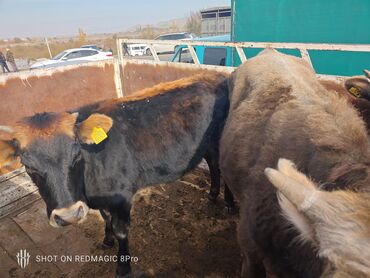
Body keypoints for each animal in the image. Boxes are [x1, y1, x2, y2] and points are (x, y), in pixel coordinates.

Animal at [0, 73, 231, 276]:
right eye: (28, 166)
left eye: (76, 154)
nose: (68, 215)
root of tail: (214, 76)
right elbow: (106, 218)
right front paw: (107, 240)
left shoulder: (121, 197)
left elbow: (121, 231)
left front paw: (123, 267)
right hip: (206, 143)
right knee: (212, 163)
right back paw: (212, 195)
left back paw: (228, 203)